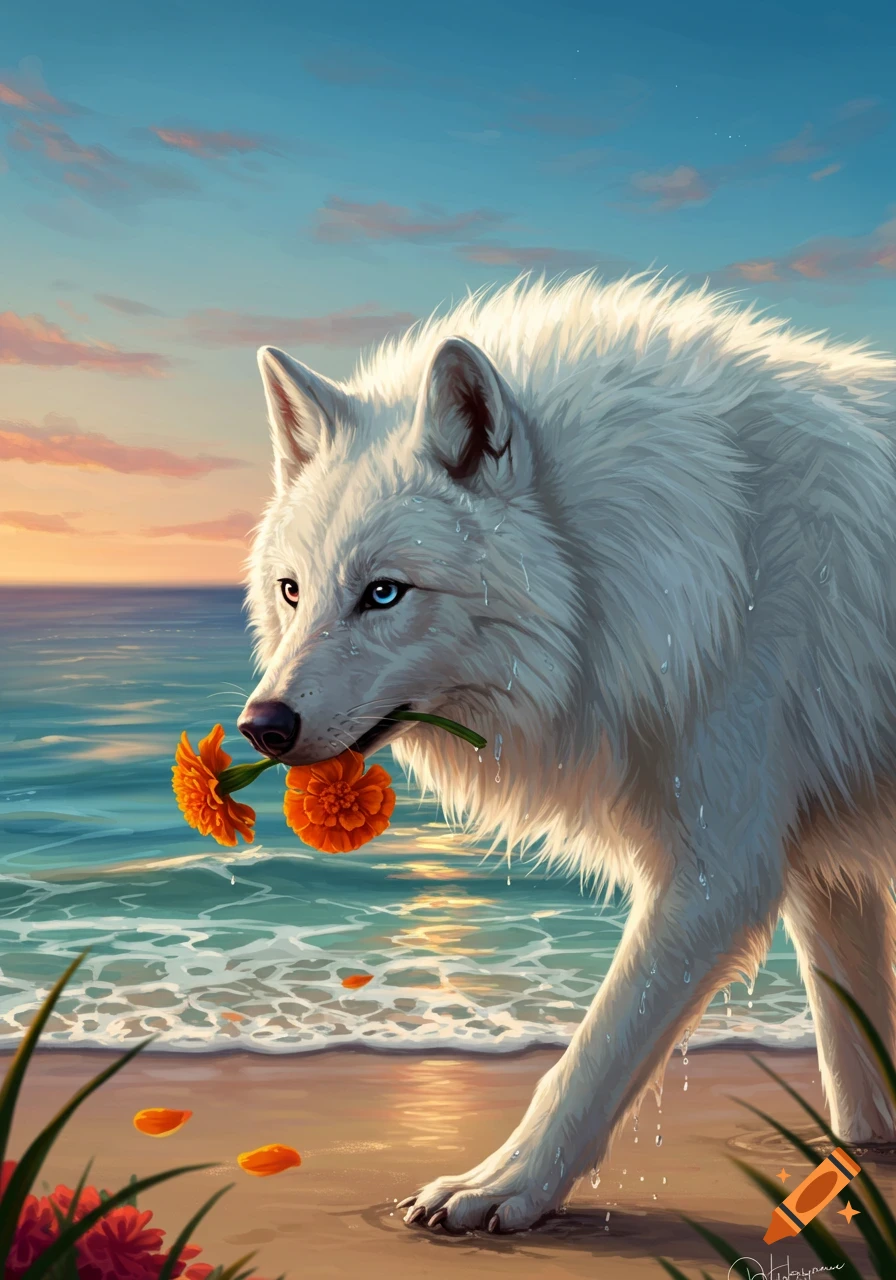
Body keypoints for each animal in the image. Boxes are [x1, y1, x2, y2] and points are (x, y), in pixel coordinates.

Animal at [239, 271, 896, 1233]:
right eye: (292, 591)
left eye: (384, 593)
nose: (264, 725)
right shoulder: (823, 869)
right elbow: (858, 1071)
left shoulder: (718, 876)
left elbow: (593, 1053)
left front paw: (502, 1186)